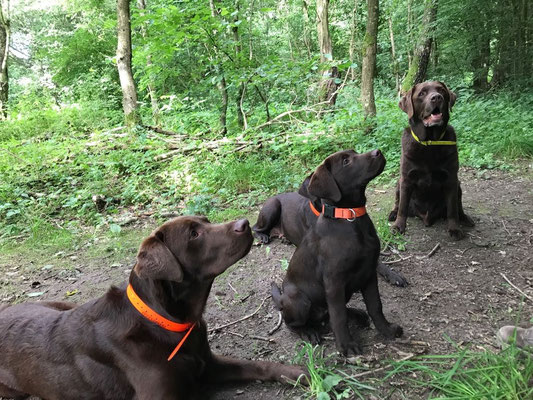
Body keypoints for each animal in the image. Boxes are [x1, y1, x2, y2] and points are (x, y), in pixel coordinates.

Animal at [0, 217, 306, 398]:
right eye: (194, 234)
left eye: (206, 222)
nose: (244, 222)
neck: (167, 320)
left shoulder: (208, 364)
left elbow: (257, 364)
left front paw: (298, 372)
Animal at [254, 151, 400, 356]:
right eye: (346, 161)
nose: (377, 152)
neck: (350, 217)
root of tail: (281, 299)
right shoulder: (334, 282)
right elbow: (338, 316)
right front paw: (347, 346)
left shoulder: (369, 273)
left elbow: (375, 306)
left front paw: (387, 330)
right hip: (299, 300)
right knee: (294, 323)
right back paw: (308, 332)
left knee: (333, 313)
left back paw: (356, 314)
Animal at [386, 79, 474, 239]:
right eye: (422, 93)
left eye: (442, 91)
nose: (437, 97)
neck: (430, 142)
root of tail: (425, 217)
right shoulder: (406, 179)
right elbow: (402, 207)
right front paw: (398, 226)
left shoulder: (451, 179)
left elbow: (452, 209)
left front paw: (454, 229)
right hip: (398, 183)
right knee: (397, 202)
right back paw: (393, 214)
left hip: (458, 185)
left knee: (458, 207)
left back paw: (465, 219)